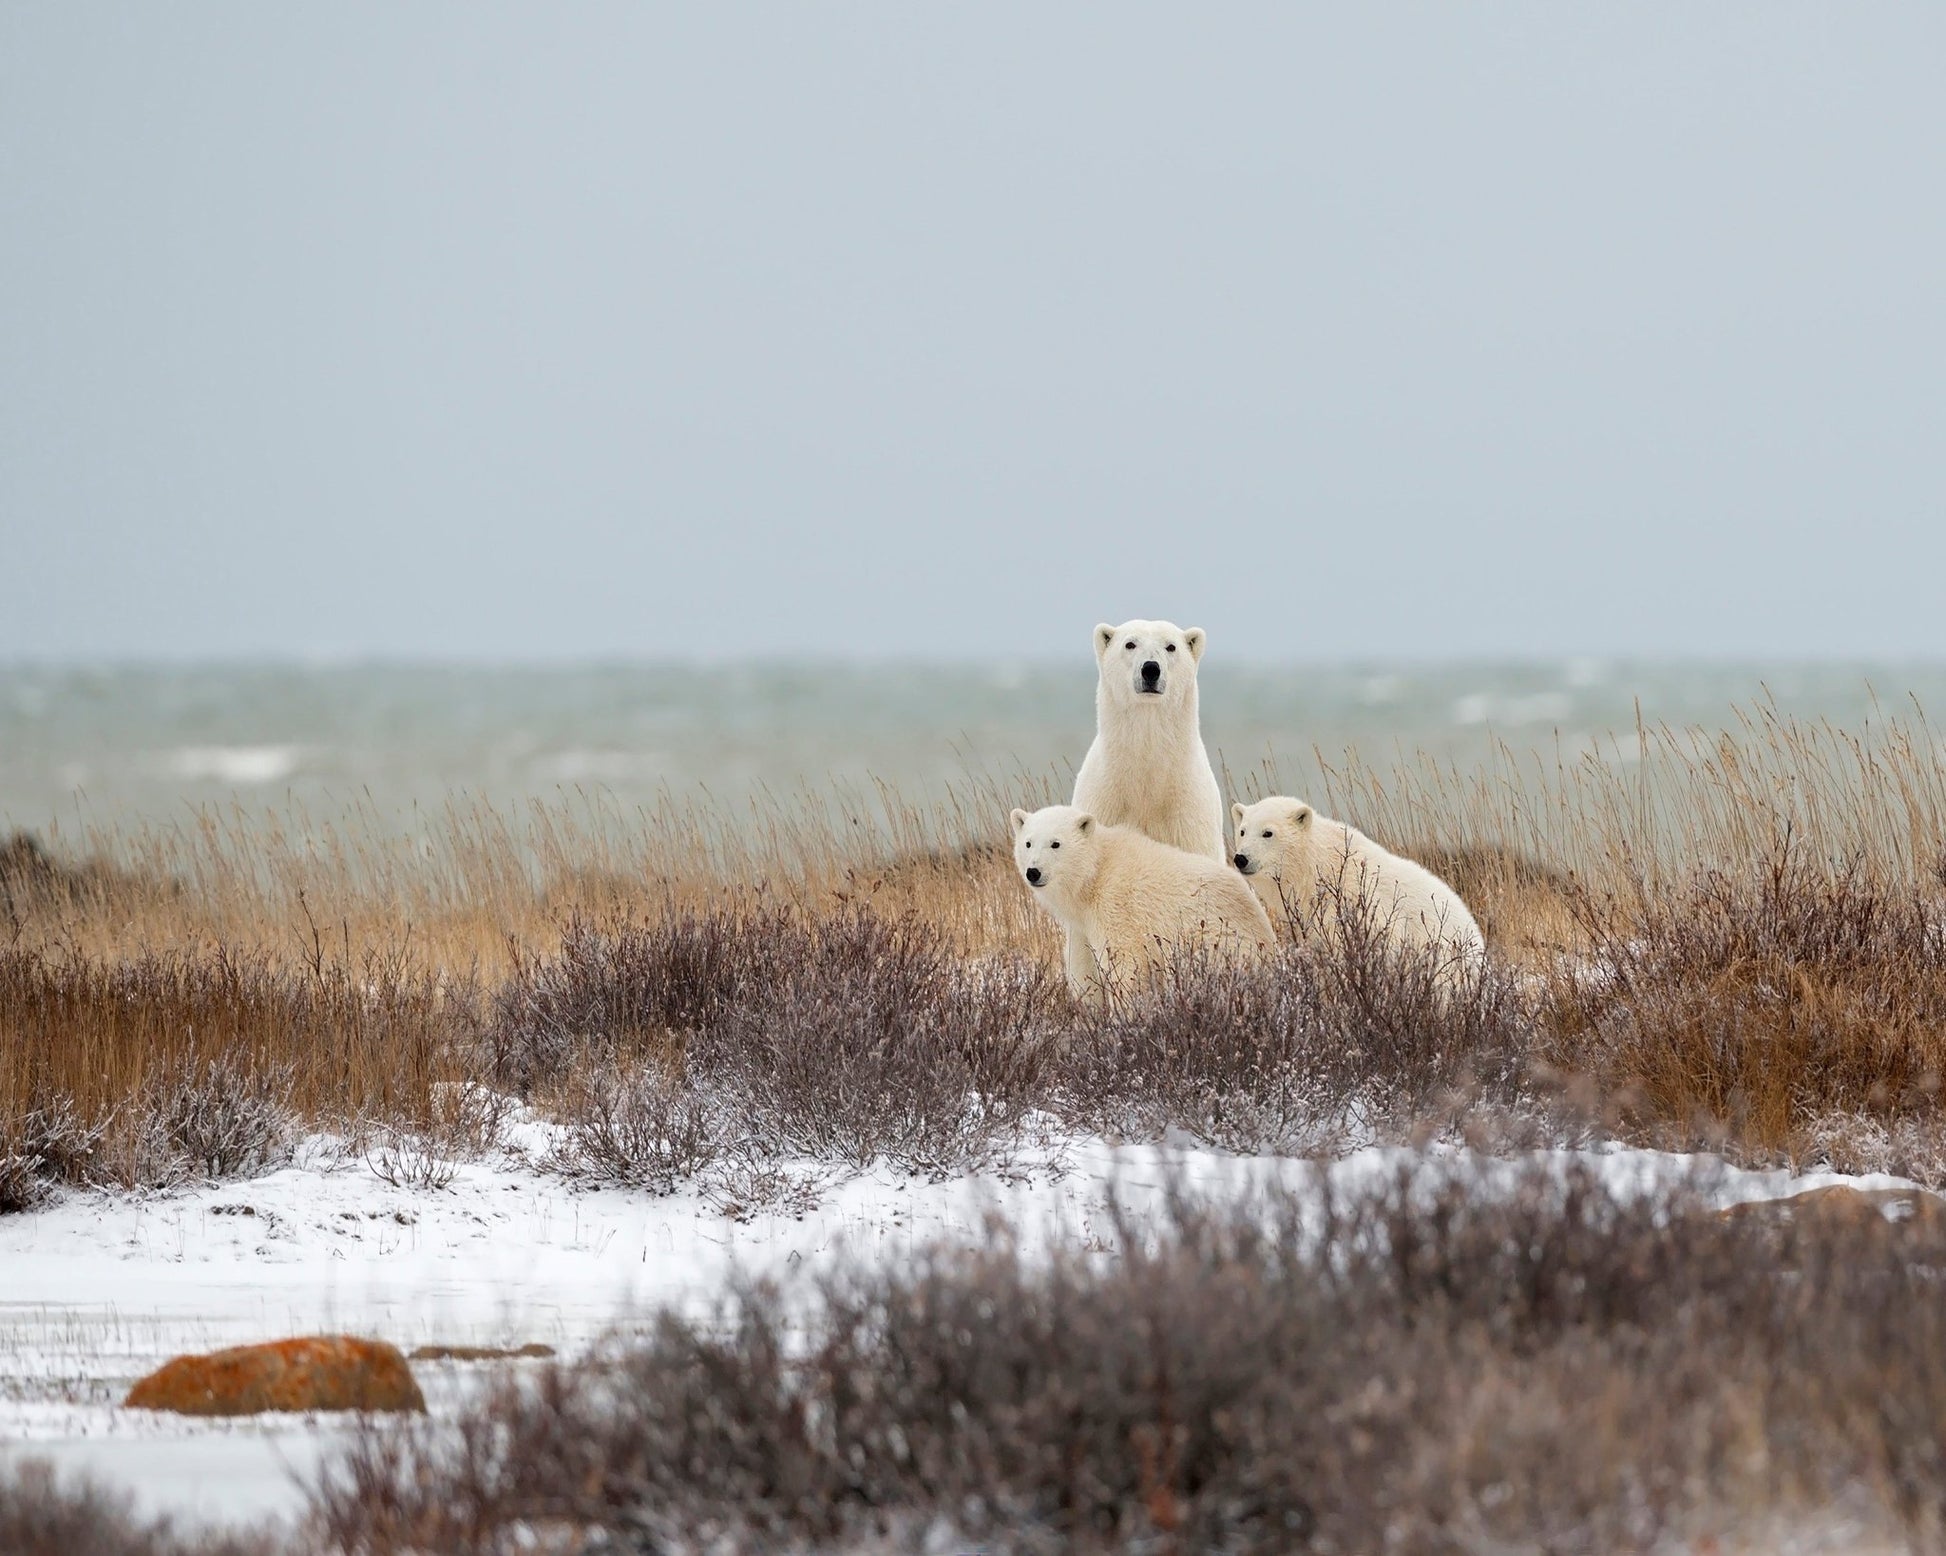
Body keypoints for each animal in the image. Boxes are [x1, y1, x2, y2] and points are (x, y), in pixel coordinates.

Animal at [1011, 803, 1274, 1006]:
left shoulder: (1117, 908)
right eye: (1028, 843)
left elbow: (1125, 965)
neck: (1095, 872)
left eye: (1055, 843)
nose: (1033, 872)